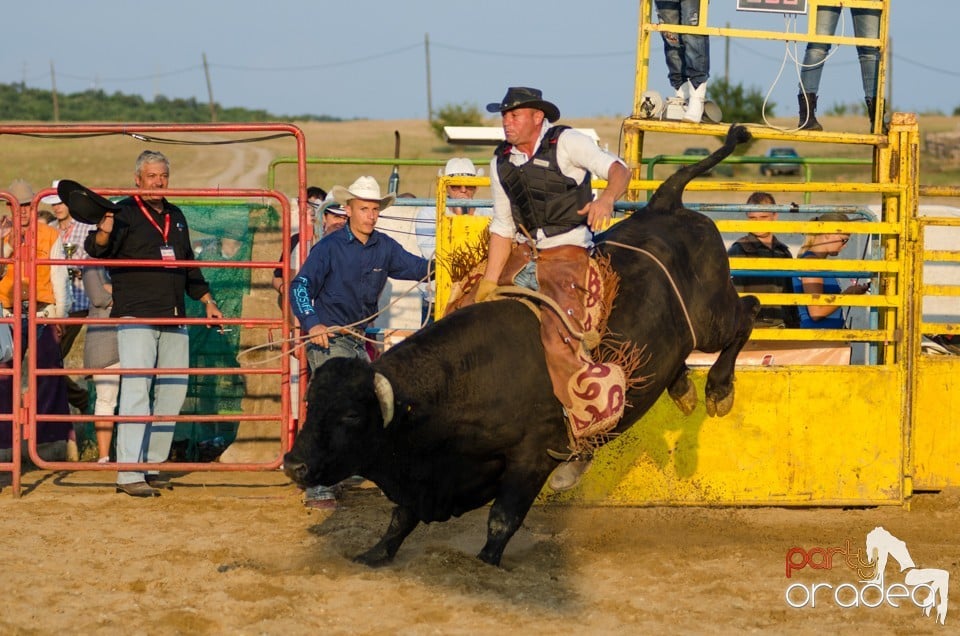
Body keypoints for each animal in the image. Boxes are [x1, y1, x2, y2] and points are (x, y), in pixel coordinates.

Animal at [282, 124, 760, 568]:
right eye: (311, 403)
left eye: (349, 415)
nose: (293, 464)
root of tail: (666, 203)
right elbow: (401, 516)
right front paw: (375, 553)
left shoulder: (530, 459)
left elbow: (502, 519)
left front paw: (487, 563)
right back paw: (682, 388)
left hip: (713, 318)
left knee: (749, 312)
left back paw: (718, 389)